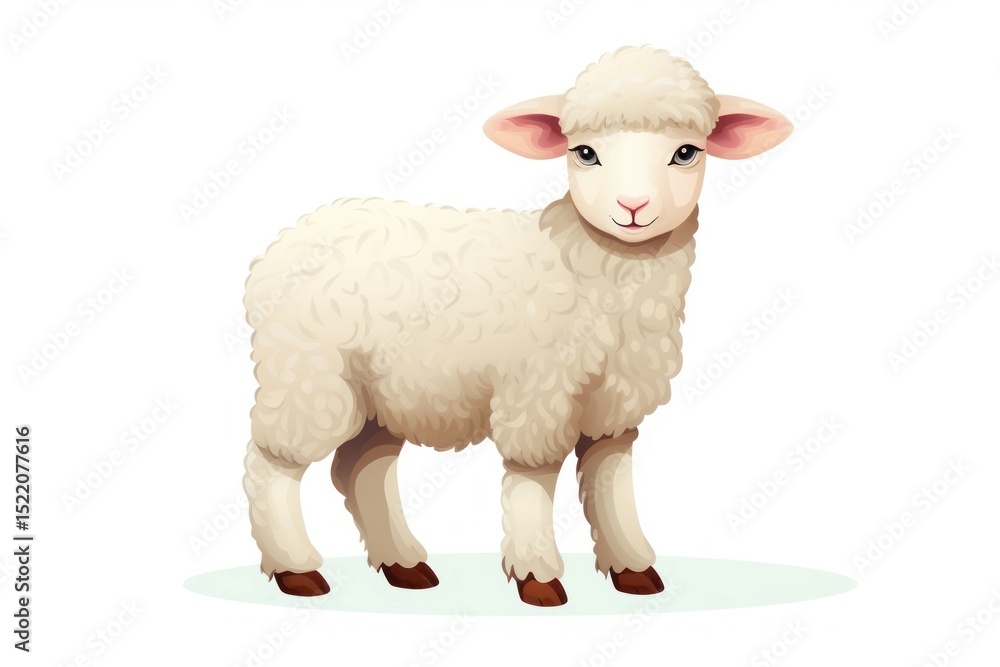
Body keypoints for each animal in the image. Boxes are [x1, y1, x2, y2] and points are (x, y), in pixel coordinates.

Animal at [242, 45, 793, 606]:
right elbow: (533, 477)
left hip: (382, 392)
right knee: (272, 462)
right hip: (308, 374)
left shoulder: (615, 400)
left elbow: (610, 479)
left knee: (362, 468)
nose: (633, 208)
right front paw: (538, 575)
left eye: (686, 152)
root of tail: (288, 239)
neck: (596, 269)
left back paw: (403, 563)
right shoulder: (537, 389)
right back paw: (295, 568)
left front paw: (632, 568)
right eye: (584, 153)